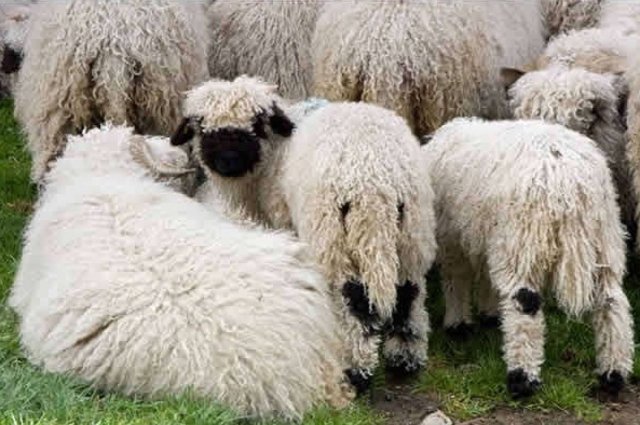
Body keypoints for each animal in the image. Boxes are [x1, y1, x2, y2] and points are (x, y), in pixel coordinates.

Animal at [171, 76, 437, 393]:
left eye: (257, 123)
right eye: (201, 126)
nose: (227, 162)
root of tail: (376, 182)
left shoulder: (284, 219)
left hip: (333, 238)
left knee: (356, 303)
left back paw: (355, 370)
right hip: (412, 234)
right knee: (409, 292)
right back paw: (405, 359)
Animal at [422, 118, 634, 398]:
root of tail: (570, 179)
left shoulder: (452, 239)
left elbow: (457, 281)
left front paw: (458, 324)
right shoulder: (489, 236)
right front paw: (489, 314)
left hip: (524, 241)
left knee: (525, 304)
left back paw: (522, 378)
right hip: (605, 238)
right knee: (611, 301)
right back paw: (614, 374)